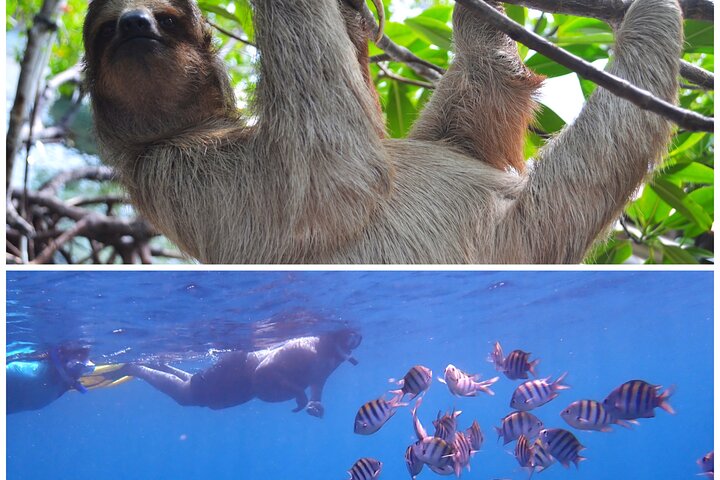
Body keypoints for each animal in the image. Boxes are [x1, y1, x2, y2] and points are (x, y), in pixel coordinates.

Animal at [82, 0, 682, 264]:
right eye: (107, 30)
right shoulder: (181, 172)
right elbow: (334, 177)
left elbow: (462, 136)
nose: (136, 24)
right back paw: (651, 14)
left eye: (166, 18)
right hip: (523, 237)